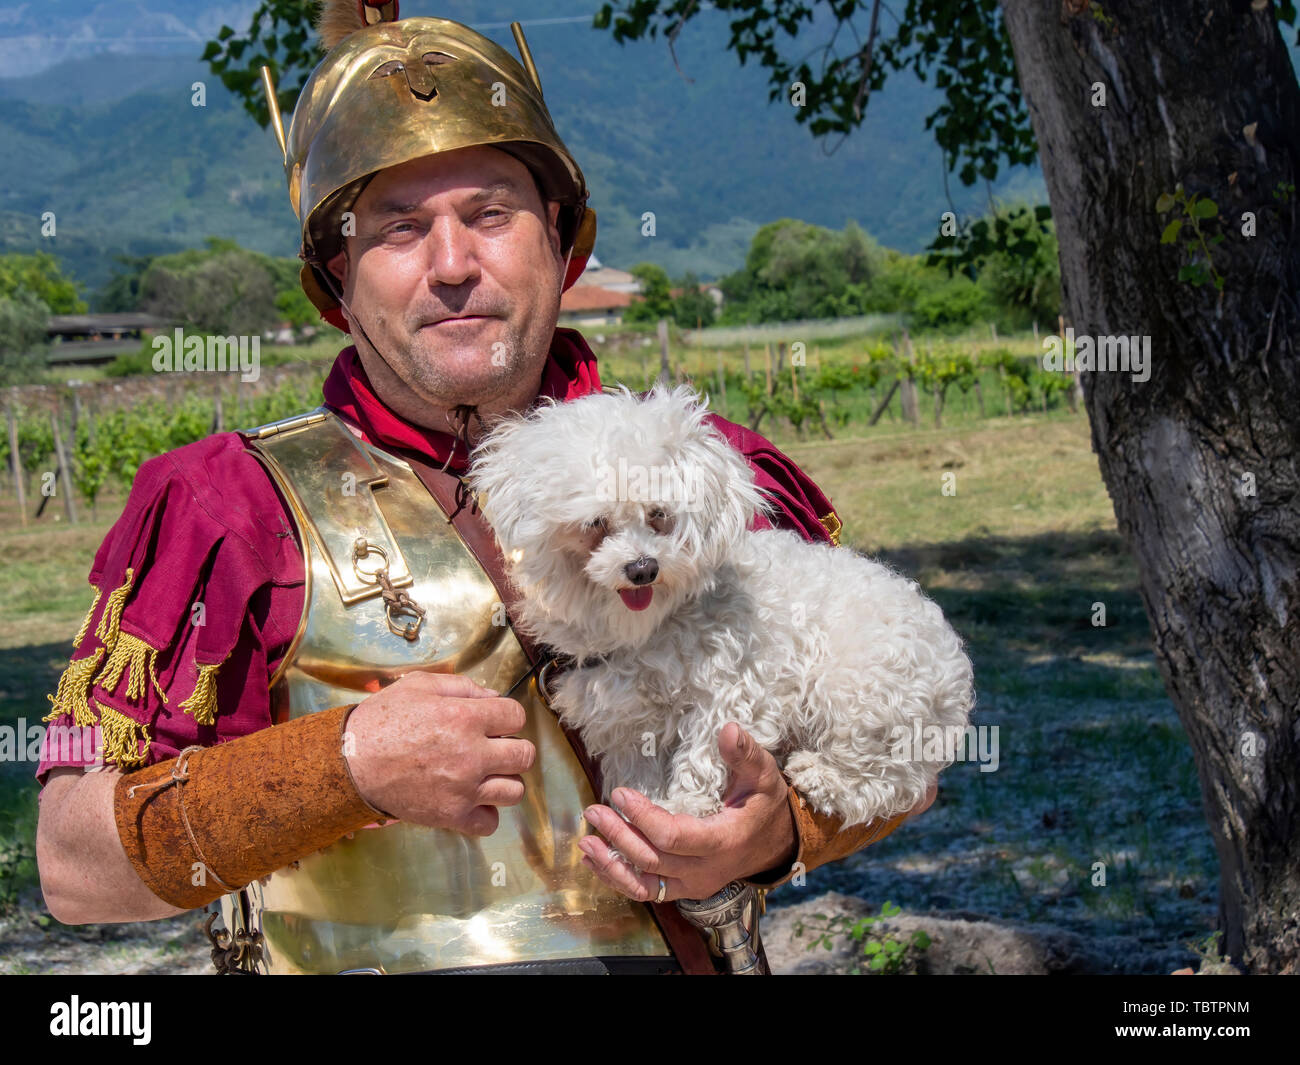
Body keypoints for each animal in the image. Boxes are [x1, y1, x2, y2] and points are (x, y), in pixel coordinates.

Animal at [467, 387, 977, 827]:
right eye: (595, 523)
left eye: (659, 515)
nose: (642, 568)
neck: (646, 627)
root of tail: (954, 672)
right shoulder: (624, 715)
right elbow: (635, 767)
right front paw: (639, 806)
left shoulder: (730, 691)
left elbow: (701, 755)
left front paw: (683, 809)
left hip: (860, 690)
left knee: (889, 782)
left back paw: (820, 775)